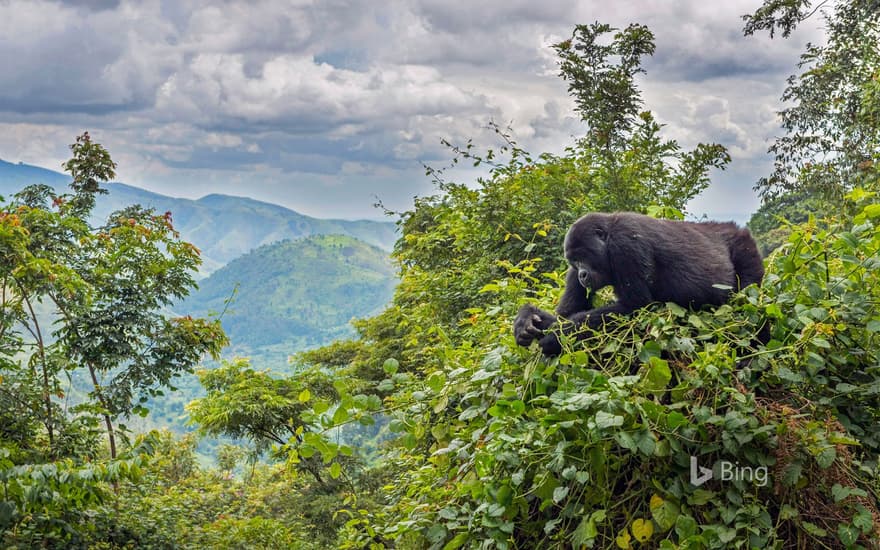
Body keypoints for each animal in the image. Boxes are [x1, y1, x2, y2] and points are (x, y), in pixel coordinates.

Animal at [516, 211, 764, 358]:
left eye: (583, 256)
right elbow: (568, 312)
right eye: (574, 261)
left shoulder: (625, 244)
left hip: (745, 249)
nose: (582, 275)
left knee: (749, 308)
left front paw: (555, 336)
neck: (608, 234)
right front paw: (527, 319)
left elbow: (635, 307)